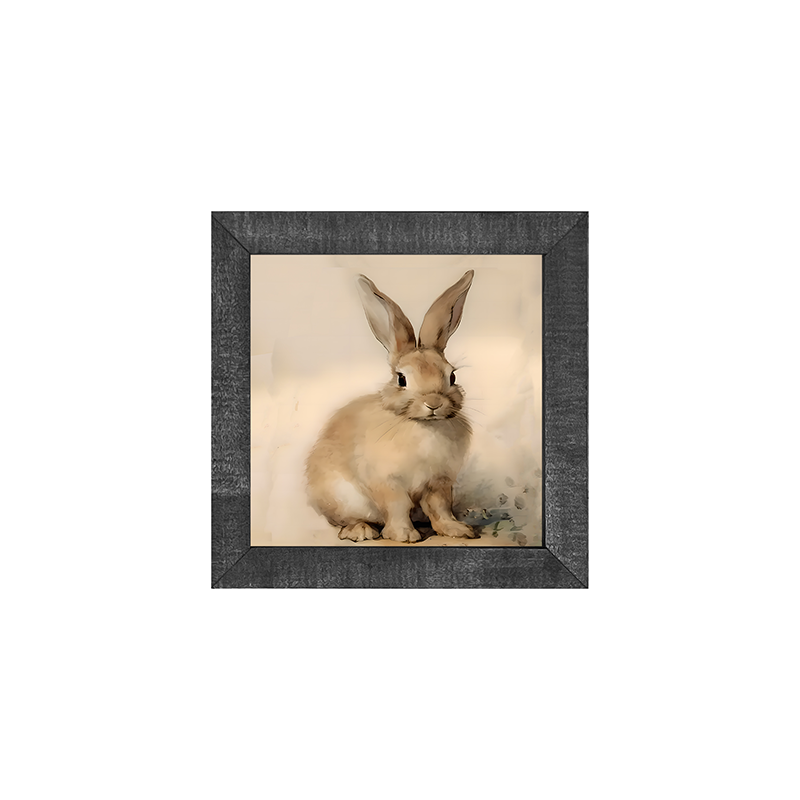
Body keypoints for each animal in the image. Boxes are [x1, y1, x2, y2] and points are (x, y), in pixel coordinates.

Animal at [305, 270, 478, 543]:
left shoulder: (439, 482)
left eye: (452, 376)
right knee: (346, 520)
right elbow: (397, 506)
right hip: (341, 498)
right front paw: (404, 535)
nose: (433, 403)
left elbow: (440, 507)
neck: (422, 426)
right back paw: (361, 531)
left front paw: (457, 530)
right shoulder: (387, 482)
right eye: (401, 379)